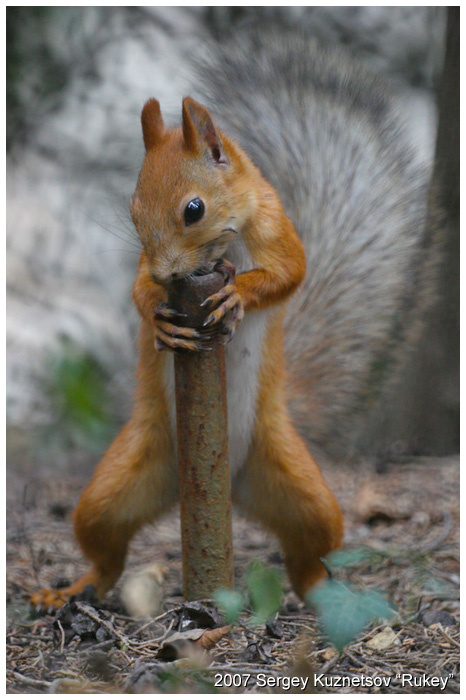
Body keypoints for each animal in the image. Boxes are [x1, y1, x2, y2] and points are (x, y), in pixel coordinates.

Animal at [31, 32, 435, 609]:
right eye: (133, 211)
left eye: (193, 209)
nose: (168, 271)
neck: (224, 246)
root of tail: (220, 484)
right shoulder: (146, 267)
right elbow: (138, 291)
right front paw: (160, 320)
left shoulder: (277, 230)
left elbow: (290, 272)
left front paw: (238, 294)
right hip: (119, 484)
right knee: (105, 550)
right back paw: (71, 589)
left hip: (300, 487)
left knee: (309, 554)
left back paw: (321, 595)